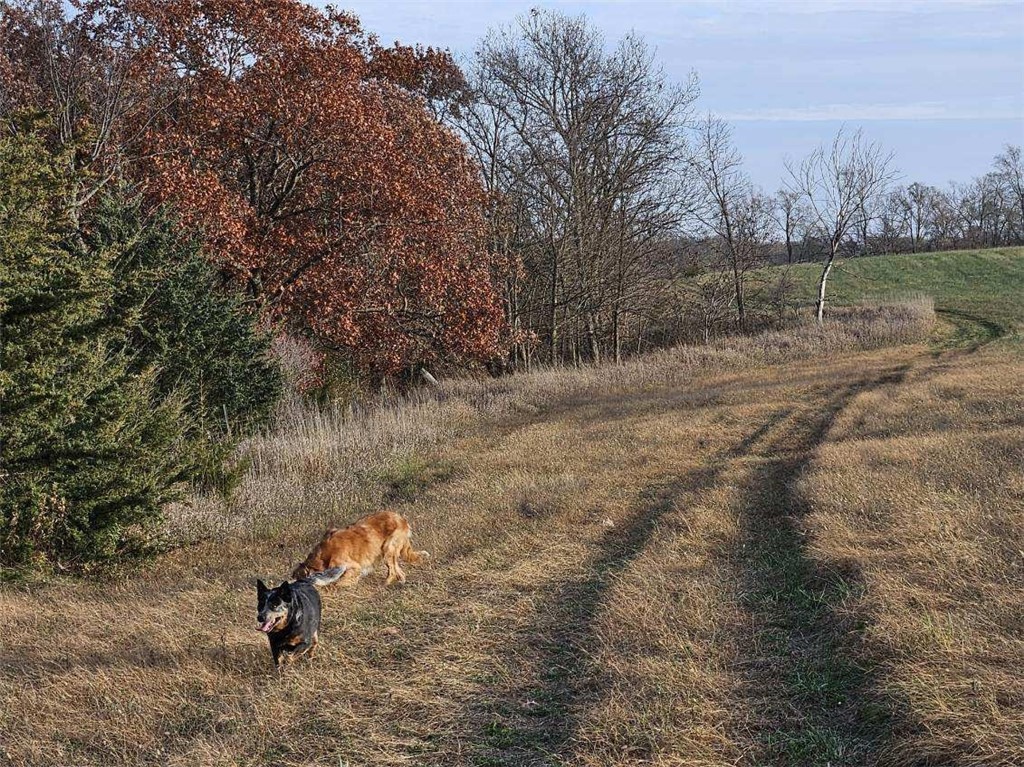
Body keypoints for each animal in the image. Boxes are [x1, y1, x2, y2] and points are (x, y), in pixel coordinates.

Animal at [292, 512, 428, 581]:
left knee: (392, 573)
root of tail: (402, 519)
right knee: (398, 572)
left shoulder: (352, 567)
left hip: (388, 548)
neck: (323, 555)